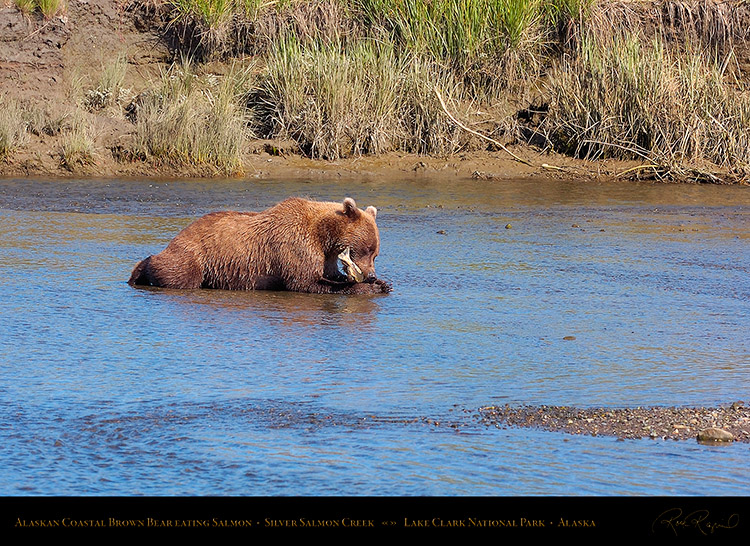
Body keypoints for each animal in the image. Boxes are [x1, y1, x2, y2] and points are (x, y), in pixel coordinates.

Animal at [128, 197, 394, 294]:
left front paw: (384, 283)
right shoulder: (294, 246)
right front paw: (363, 287)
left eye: (375, 253)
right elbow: (305, 281)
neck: (323, 235)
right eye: (367, 249)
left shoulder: (324, 255)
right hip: (194, 255)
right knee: (178, 273)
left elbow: (327, 274)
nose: (371, 275)